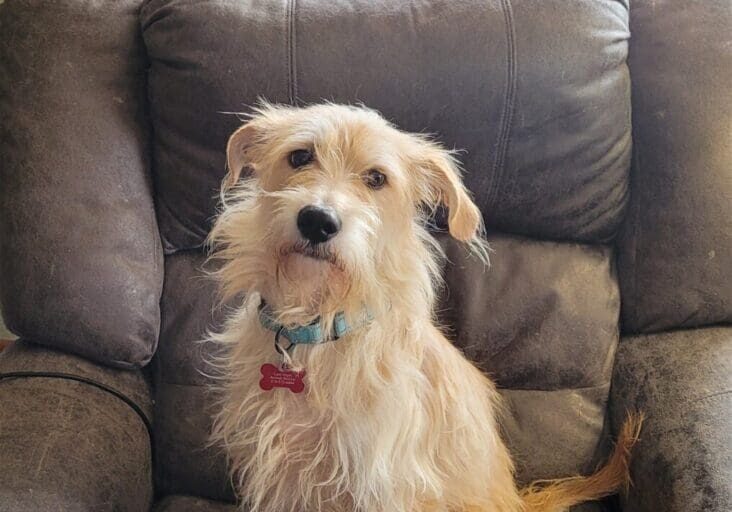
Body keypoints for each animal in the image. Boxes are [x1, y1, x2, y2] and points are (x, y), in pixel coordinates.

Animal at [207, 104, 640, 512]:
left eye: (376, 178)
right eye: (299, 157)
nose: (317, 221)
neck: (318, 326)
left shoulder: (381, 484)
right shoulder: (282, 478)